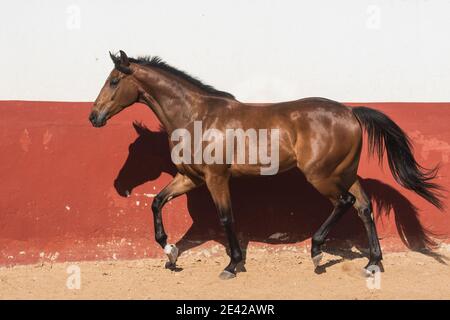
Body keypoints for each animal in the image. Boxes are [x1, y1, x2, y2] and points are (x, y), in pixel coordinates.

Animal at [89, 50, 442, 280]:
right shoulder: (189, 177)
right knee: (364, 206)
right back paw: (372, 262)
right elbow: (158, 202)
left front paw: (232, 265)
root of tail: (351, 112)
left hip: (322, 176)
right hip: (344, 172)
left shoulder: (216, 178)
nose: (94, 116)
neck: (196, 117)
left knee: (345, 202)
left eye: (114, 80)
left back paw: (317, 251)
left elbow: (226, 218)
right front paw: (170, 251)